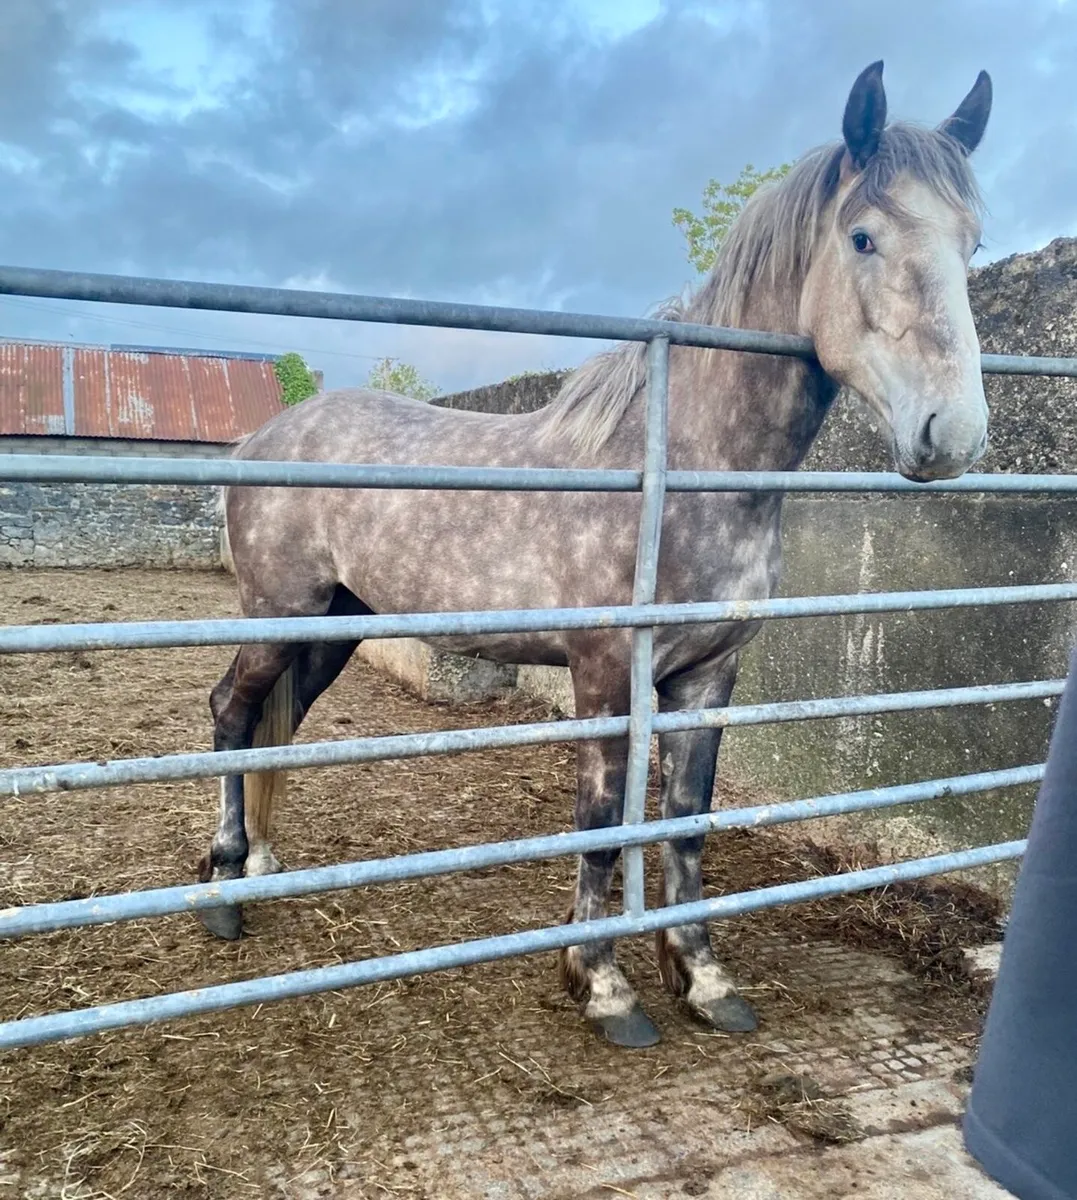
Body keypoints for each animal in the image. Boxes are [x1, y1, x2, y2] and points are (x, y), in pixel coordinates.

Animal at [202, 61, 993, 1048]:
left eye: (971, 244)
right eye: (863, 237)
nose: (950, 434)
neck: (687, 468)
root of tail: (267, 434)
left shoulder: (707, 677)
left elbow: (684, 822)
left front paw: (702, 978)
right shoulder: (605, 671)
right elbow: (599, 820)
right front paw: (603, 984)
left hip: (334, 626)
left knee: (280, 720)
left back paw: (263, 863)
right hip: (277, 612)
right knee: (233, 711)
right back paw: (223, 887)